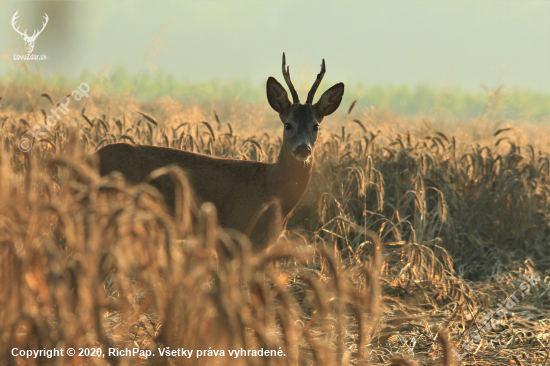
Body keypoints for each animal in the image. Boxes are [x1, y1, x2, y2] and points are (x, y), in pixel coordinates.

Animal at [96, 53, 344, 249]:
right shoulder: (232, 234)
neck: (271, 189)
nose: (303, 148)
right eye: (288, 124)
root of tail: (92, 155)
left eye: (316, 126)